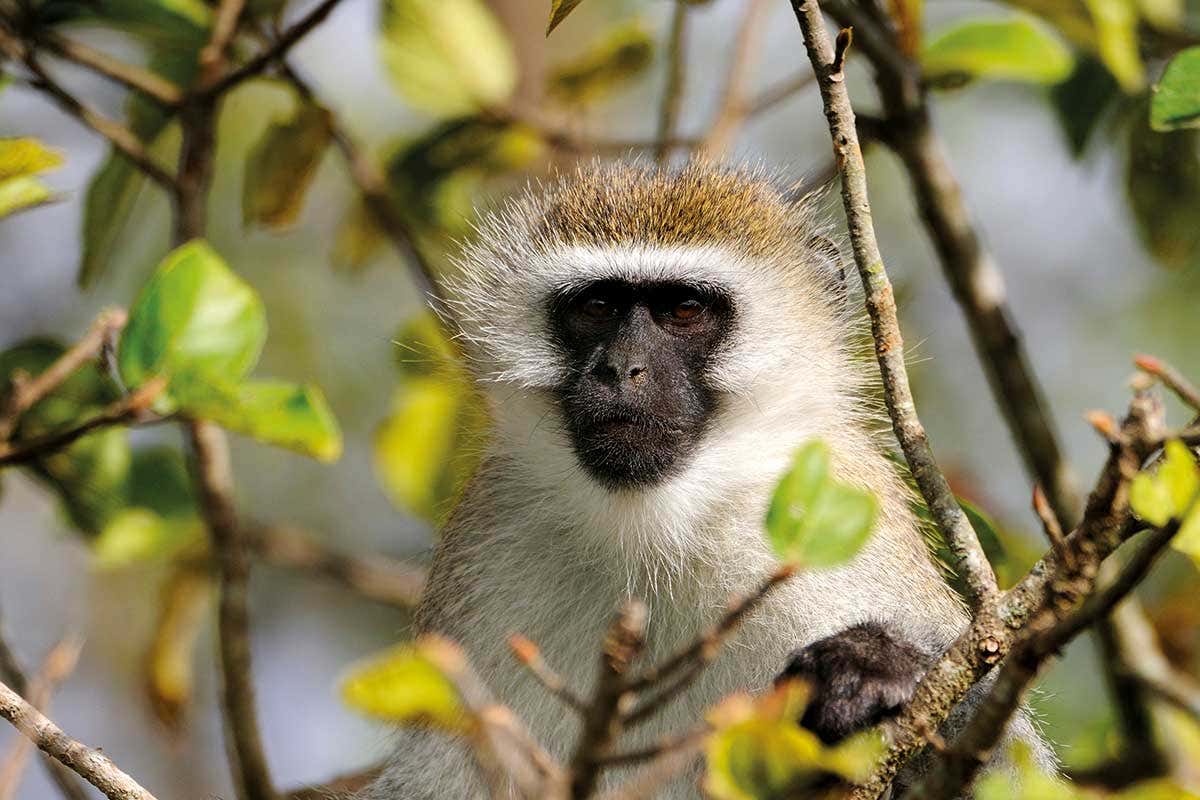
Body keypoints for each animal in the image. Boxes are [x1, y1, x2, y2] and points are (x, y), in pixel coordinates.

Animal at [363, 162, 1051, 799]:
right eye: (597, 306)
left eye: (685, 309)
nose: (622, 368)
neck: (651, 535)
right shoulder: (492, 547)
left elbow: (1014, 767)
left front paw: (877, 669)